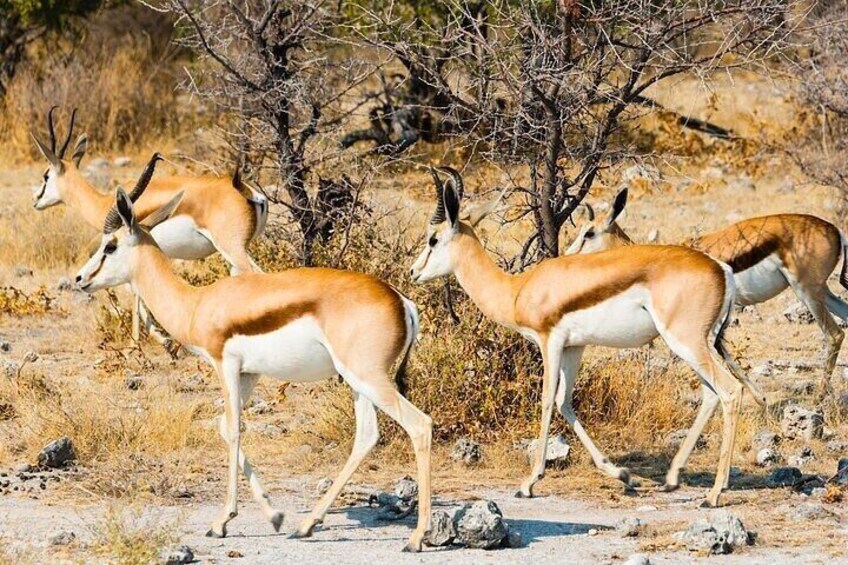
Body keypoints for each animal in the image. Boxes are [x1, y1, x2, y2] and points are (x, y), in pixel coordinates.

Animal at [31, 106, 266, 344]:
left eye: (46, 175)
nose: (36, 200)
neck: (103, 202)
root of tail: (246, 191)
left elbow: (136, 295)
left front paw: (145, 342)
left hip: (231, 248)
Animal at [73, 153, 434, 552]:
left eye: (110, 245)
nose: (79, 279)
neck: (197, 304)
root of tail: (402, 301)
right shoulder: (250, 374)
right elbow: (223, 425)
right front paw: (274, 516)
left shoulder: (225, 365)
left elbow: (233, 430)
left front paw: (221, 522)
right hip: (357, 382)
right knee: (368, 436)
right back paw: (306, 525)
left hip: (368, 378)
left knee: (419, 425)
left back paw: (417, 536)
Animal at [408, 167, 764, 506]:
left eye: (433, 239)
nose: (413, 272)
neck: (518, 289)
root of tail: (721, 269)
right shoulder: (574, 346)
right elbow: (565, 401)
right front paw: (622, 475)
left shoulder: (549, 341)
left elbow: (546, 401)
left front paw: (528, 483)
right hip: (696, 344)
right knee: (711, 395)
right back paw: (673, 478)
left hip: (686, 342)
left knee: (730, 391)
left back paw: (715, 493)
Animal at [568, 187, 848, 390]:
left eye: (589, 233)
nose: (568, 256)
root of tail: (835, 230)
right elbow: (724, 354)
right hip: (822, 292)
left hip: (806, 290)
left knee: (834, 334)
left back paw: (820, 397)